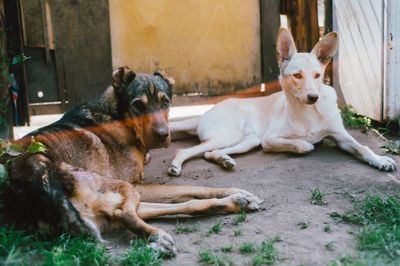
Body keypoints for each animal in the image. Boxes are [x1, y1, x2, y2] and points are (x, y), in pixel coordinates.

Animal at [3, 66, 262, 256]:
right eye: (138, 105)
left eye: (166, 102)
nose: (163, 135)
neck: (119, 116)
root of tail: (34, 181)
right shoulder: (136, 184)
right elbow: (191, 187)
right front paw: (238, 190)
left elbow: (189, 192)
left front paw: (240, 194)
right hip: (123, 188)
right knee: (126, 213)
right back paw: (159, 237)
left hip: (118, 201)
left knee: (179, 207)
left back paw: (235, 203)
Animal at [166, 28, 396, 177]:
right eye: (297, 75)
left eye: (317, 75)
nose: (314, 97)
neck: (308, 113)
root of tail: (204, 113)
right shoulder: (269, 140)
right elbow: (298, 144)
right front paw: (305, 143)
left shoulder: (341, 136)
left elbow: (363, 148)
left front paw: (380, 160)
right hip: (232, 135)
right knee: (185, 151)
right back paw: (176, 166)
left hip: (248, 140)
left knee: (209, 153)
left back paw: (224, 160)